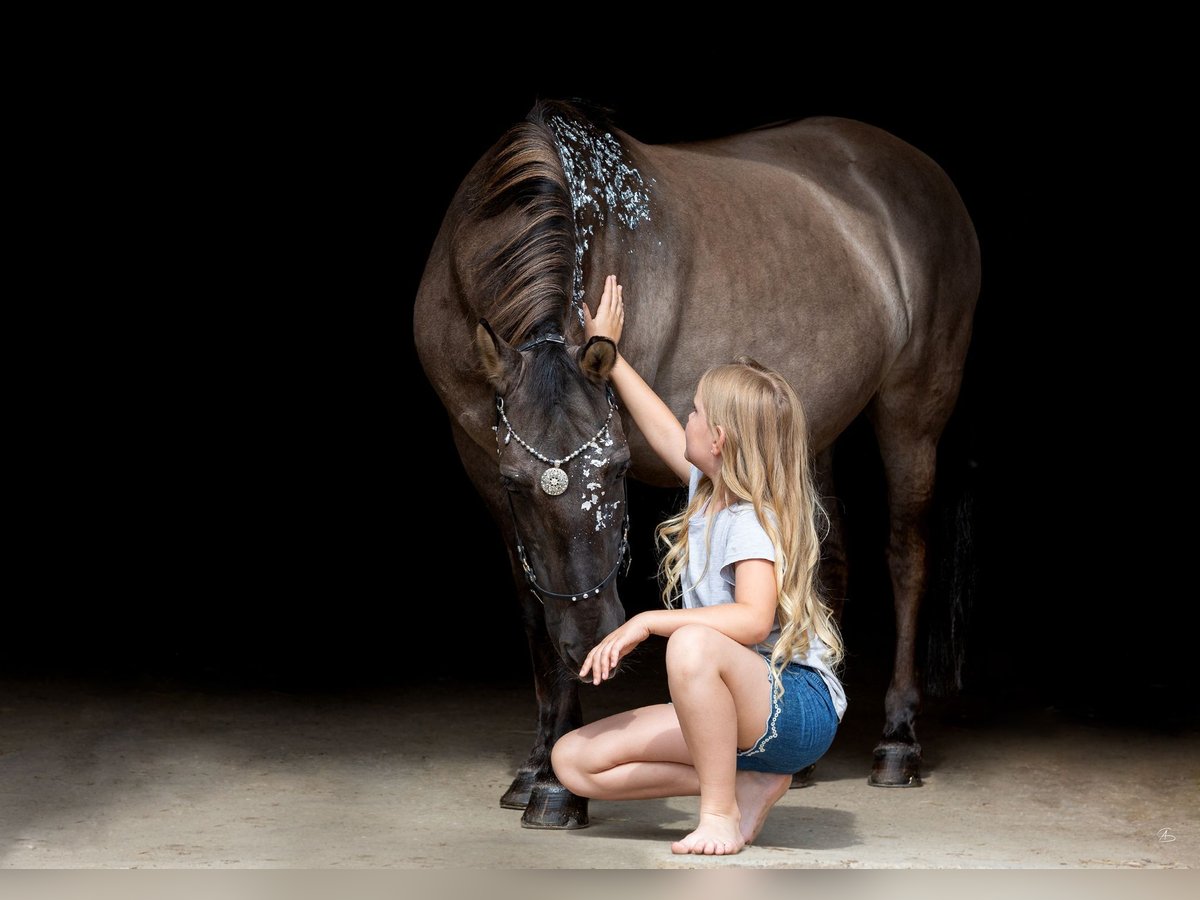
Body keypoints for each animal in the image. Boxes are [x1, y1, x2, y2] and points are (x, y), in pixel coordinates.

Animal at [412, 98, 974, 830]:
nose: (594, 637)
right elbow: (535, 608)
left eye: (618, 468)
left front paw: (558, 788)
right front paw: (536, 765)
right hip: (813, 425)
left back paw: (897, 743)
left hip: (913, 407)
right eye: (515, 482)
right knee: (824, 560)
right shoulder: (480, 461)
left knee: (907, 556)